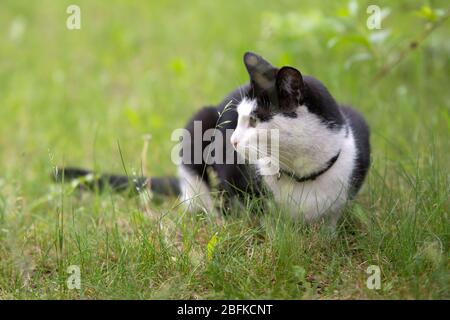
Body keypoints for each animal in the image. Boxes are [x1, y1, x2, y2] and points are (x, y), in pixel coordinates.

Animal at [58, 52, 370, 226]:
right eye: (238, 119)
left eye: (254, 120)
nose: (232, 141)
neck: (302, 173)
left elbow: (330, 223)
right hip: (199, 123)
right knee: (195, 189)